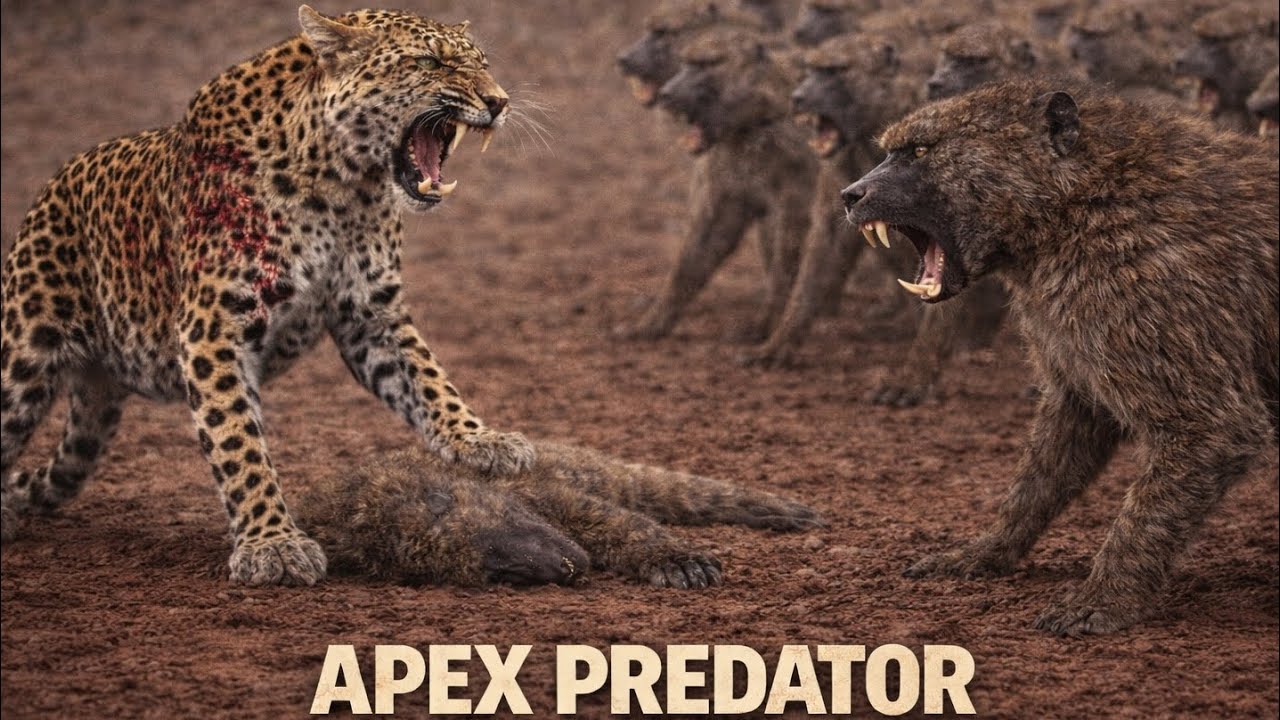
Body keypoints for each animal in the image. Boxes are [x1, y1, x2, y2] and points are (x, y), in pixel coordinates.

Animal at [0, 6, 534, 587]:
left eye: (483, 64)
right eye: (431, 62)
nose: (499, 101)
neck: (343, 184)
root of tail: (50, 190)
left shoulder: (372, 312)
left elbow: (430, 381)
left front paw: (480, 440)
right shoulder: (214, 326)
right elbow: (237, 438)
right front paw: (272, 543)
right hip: (21, 358)